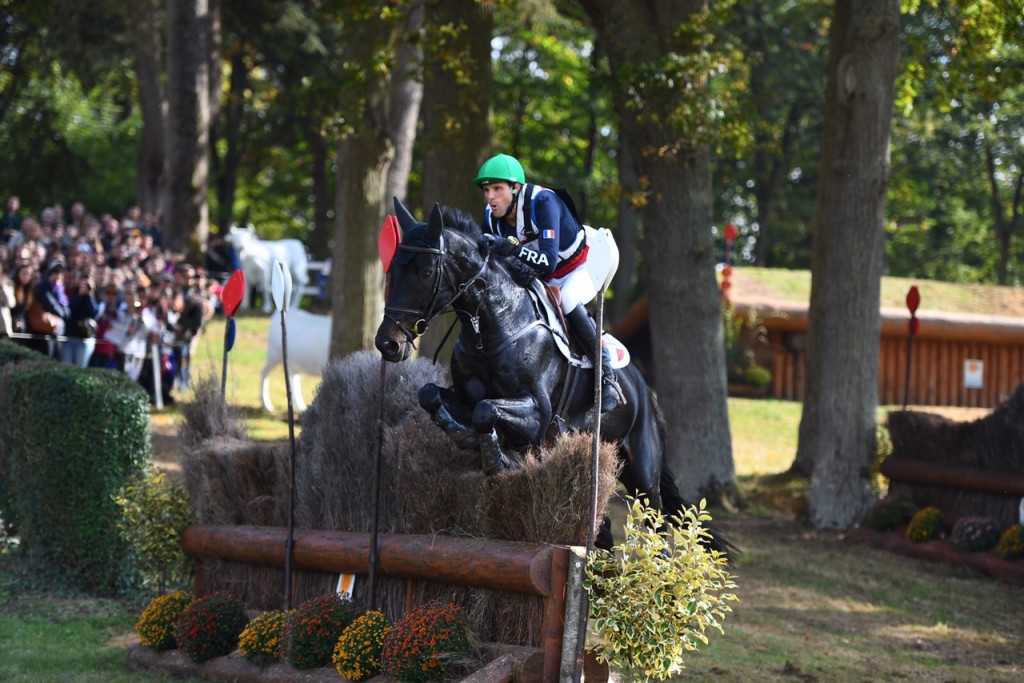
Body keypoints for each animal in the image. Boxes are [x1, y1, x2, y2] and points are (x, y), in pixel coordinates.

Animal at [376, 197, 729, 557]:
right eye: (392, 270)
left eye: (425, 273)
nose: (387, 344)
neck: (493, 324)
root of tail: (645, 390)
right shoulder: (465, 396)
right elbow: (432, 395)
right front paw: (467, 436)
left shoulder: (539, 415)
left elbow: (486, 411)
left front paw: (494, 456)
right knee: (604, 530)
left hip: (643, 469)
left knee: (656, 524)